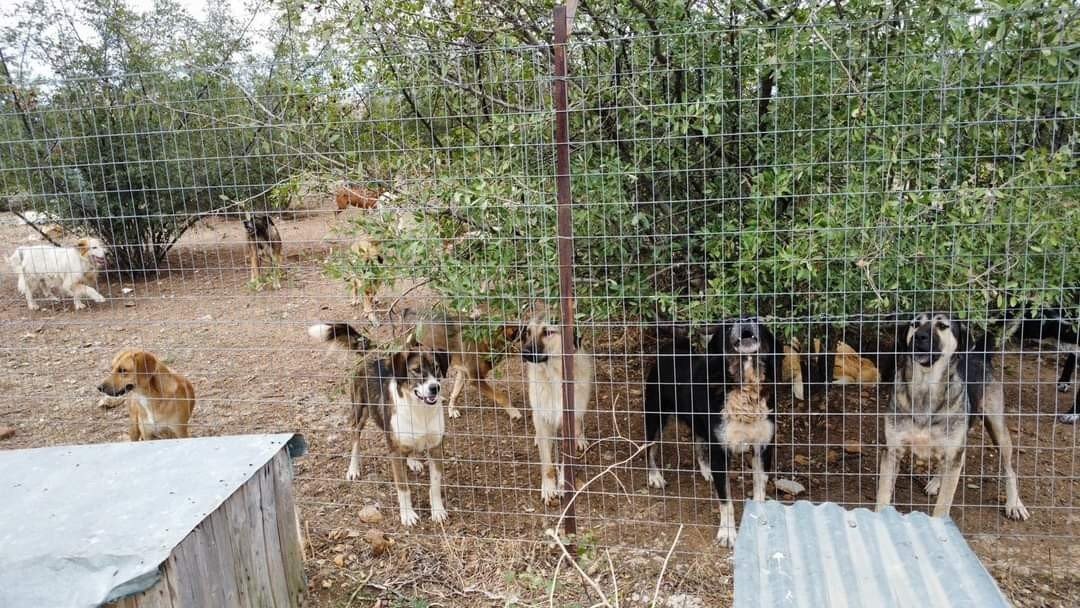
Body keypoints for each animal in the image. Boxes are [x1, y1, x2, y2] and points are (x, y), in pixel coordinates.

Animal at [308, 323, 451, 529]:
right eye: (416, 370)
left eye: (437, 368)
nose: (435, 388)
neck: (419, 410)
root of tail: (371, 350)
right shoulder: (395, 452)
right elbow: (403, 488)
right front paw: (407, 515)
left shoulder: (435, 447)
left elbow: (435, 484)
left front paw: (438, 511)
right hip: (359, 412)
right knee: (355, 439)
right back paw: (353, 469)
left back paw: (412, 460)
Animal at [643, 319, 781, 546]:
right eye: (729, 325)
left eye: (757, 321)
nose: (746, 320)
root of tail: (673, 347)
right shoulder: (720, 452)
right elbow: (726, 501)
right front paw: (727, 534)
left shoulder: (763, 448)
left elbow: (760, 490)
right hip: (655, 416)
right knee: (650, 448)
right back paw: (655, 476)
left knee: (698, 442)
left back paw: (706, 470)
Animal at [876, 317, 1028, 520]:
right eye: (915, 324)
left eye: (942, 326)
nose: (919, 336)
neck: (925, 388)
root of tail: (978, 354)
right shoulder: (893, 451)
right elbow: (883, 495)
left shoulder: (954, 454)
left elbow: (943, 505)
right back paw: (935, 482)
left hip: (998, 431)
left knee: (1009, 469)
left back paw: (1014, 503)